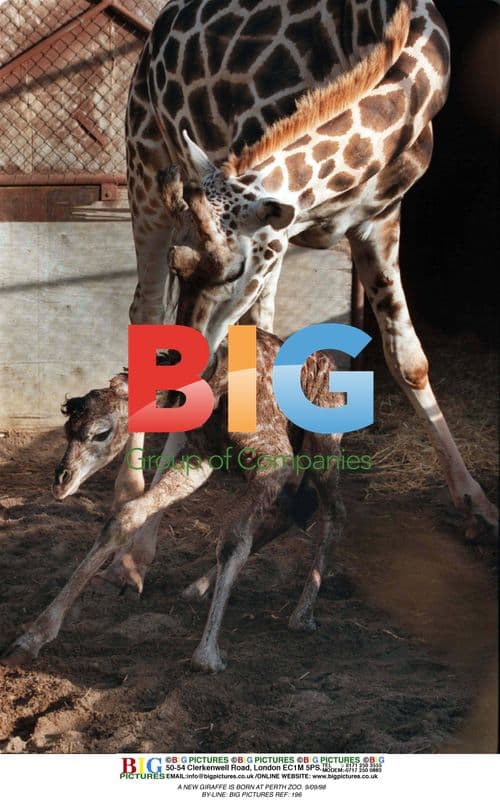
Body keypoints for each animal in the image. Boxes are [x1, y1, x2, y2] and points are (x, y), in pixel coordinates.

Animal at [120, 0, 496, 543]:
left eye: (232, 269)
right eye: (180, 263)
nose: (174, 392)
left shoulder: (377, 218)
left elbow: (408, 358)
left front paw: (476, 504)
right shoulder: (271, 208)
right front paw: (143, 533)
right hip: (144, 162)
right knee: (147, 310)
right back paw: (131, 486)